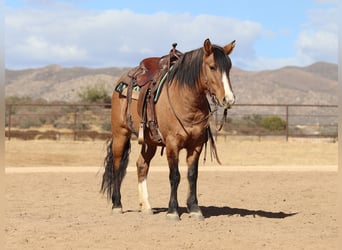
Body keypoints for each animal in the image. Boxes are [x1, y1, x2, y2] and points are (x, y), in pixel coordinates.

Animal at [100, 38, 236, 220]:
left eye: (229, 67)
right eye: (212, 66)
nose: (229, 99)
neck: (185, 100)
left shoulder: (196, 145)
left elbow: (192, 175)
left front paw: (194, 208)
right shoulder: (172, 144)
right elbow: (175, 176)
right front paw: (172, 211)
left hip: (149, 142)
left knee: (141, 165)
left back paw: (146, 206)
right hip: (120, 133)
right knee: (116, 166)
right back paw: (117, 205)